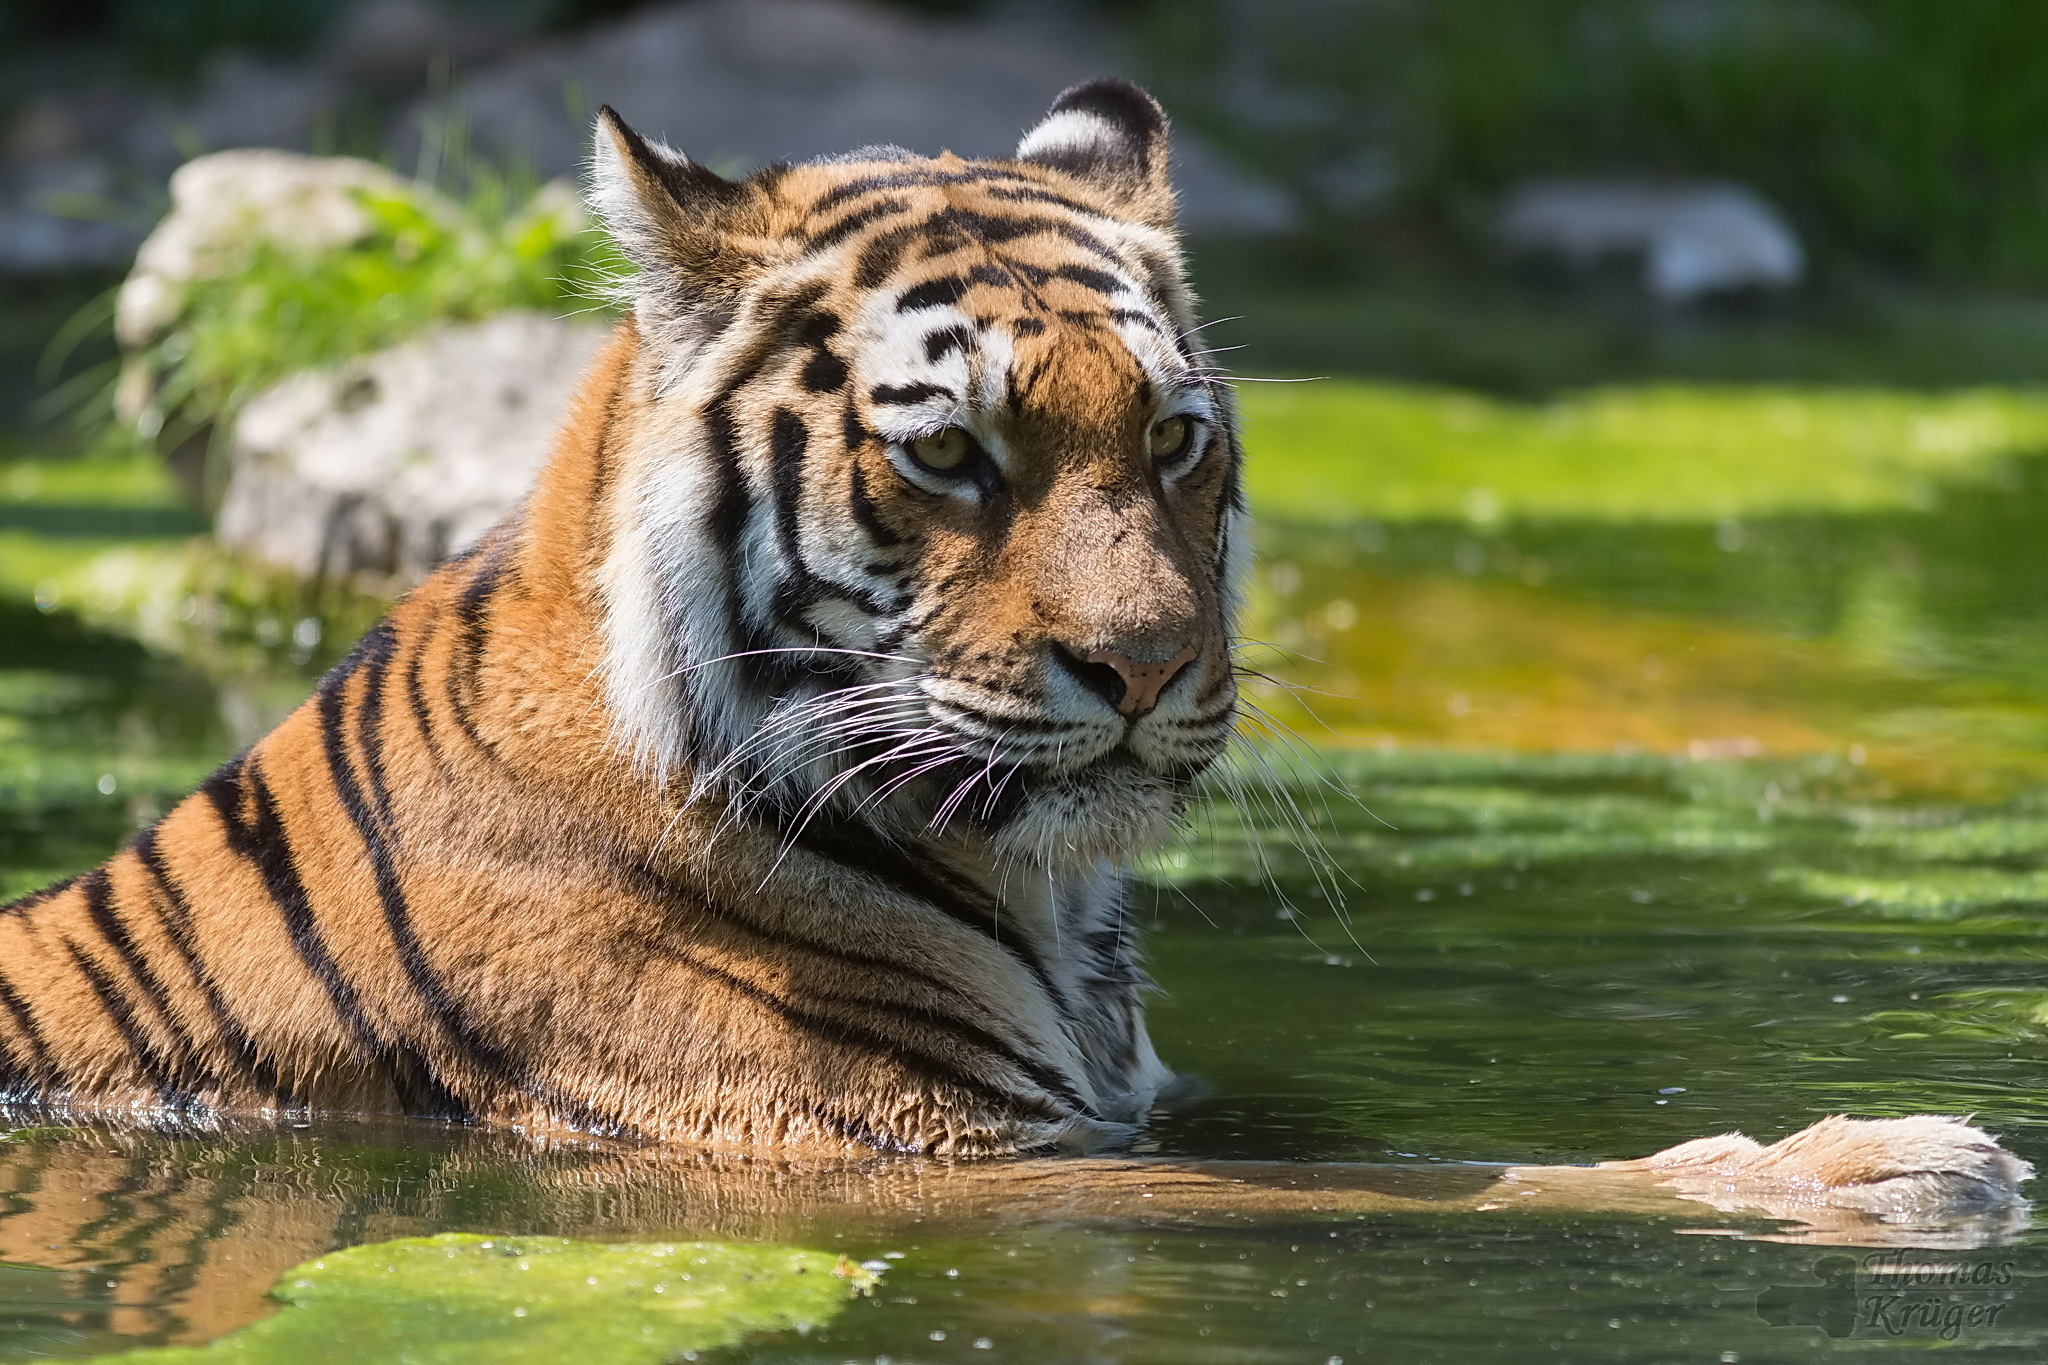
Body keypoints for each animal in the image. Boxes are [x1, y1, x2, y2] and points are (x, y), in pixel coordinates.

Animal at [0, 77, 2023, 1227]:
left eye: (1174, 440)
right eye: (952, 455)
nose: (1142, 669)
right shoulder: (931, 1155)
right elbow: (1466, 1181)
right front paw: (1895, 1166)